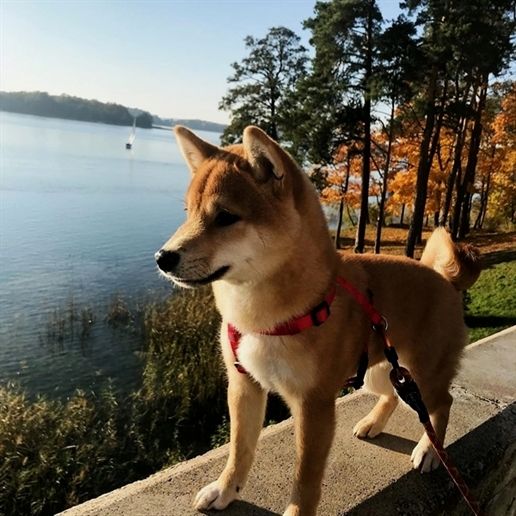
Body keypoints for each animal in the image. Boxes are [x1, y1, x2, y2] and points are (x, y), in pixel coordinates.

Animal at [155, 126, 482, 516]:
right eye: (188, 213)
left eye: (225, 217)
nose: (162, 257)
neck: (263, 317)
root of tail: (445, 279)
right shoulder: (243, 385)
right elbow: (239, 450)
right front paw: (225, 489)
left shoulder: (314, 405)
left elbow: (306, 477)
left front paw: (297, 511)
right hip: (379, 369)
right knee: (391, 394)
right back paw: (373, 423)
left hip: (423, 373)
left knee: (442, 404)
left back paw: (430, 450)